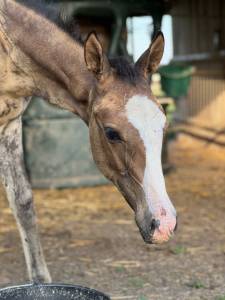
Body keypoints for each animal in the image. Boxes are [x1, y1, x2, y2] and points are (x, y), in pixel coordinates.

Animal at [0, 0, 177, 282]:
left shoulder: (10, 122)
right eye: (111, 133)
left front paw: (40, 280)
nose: (164, 224)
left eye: (164, 125)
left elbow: (23, 202)